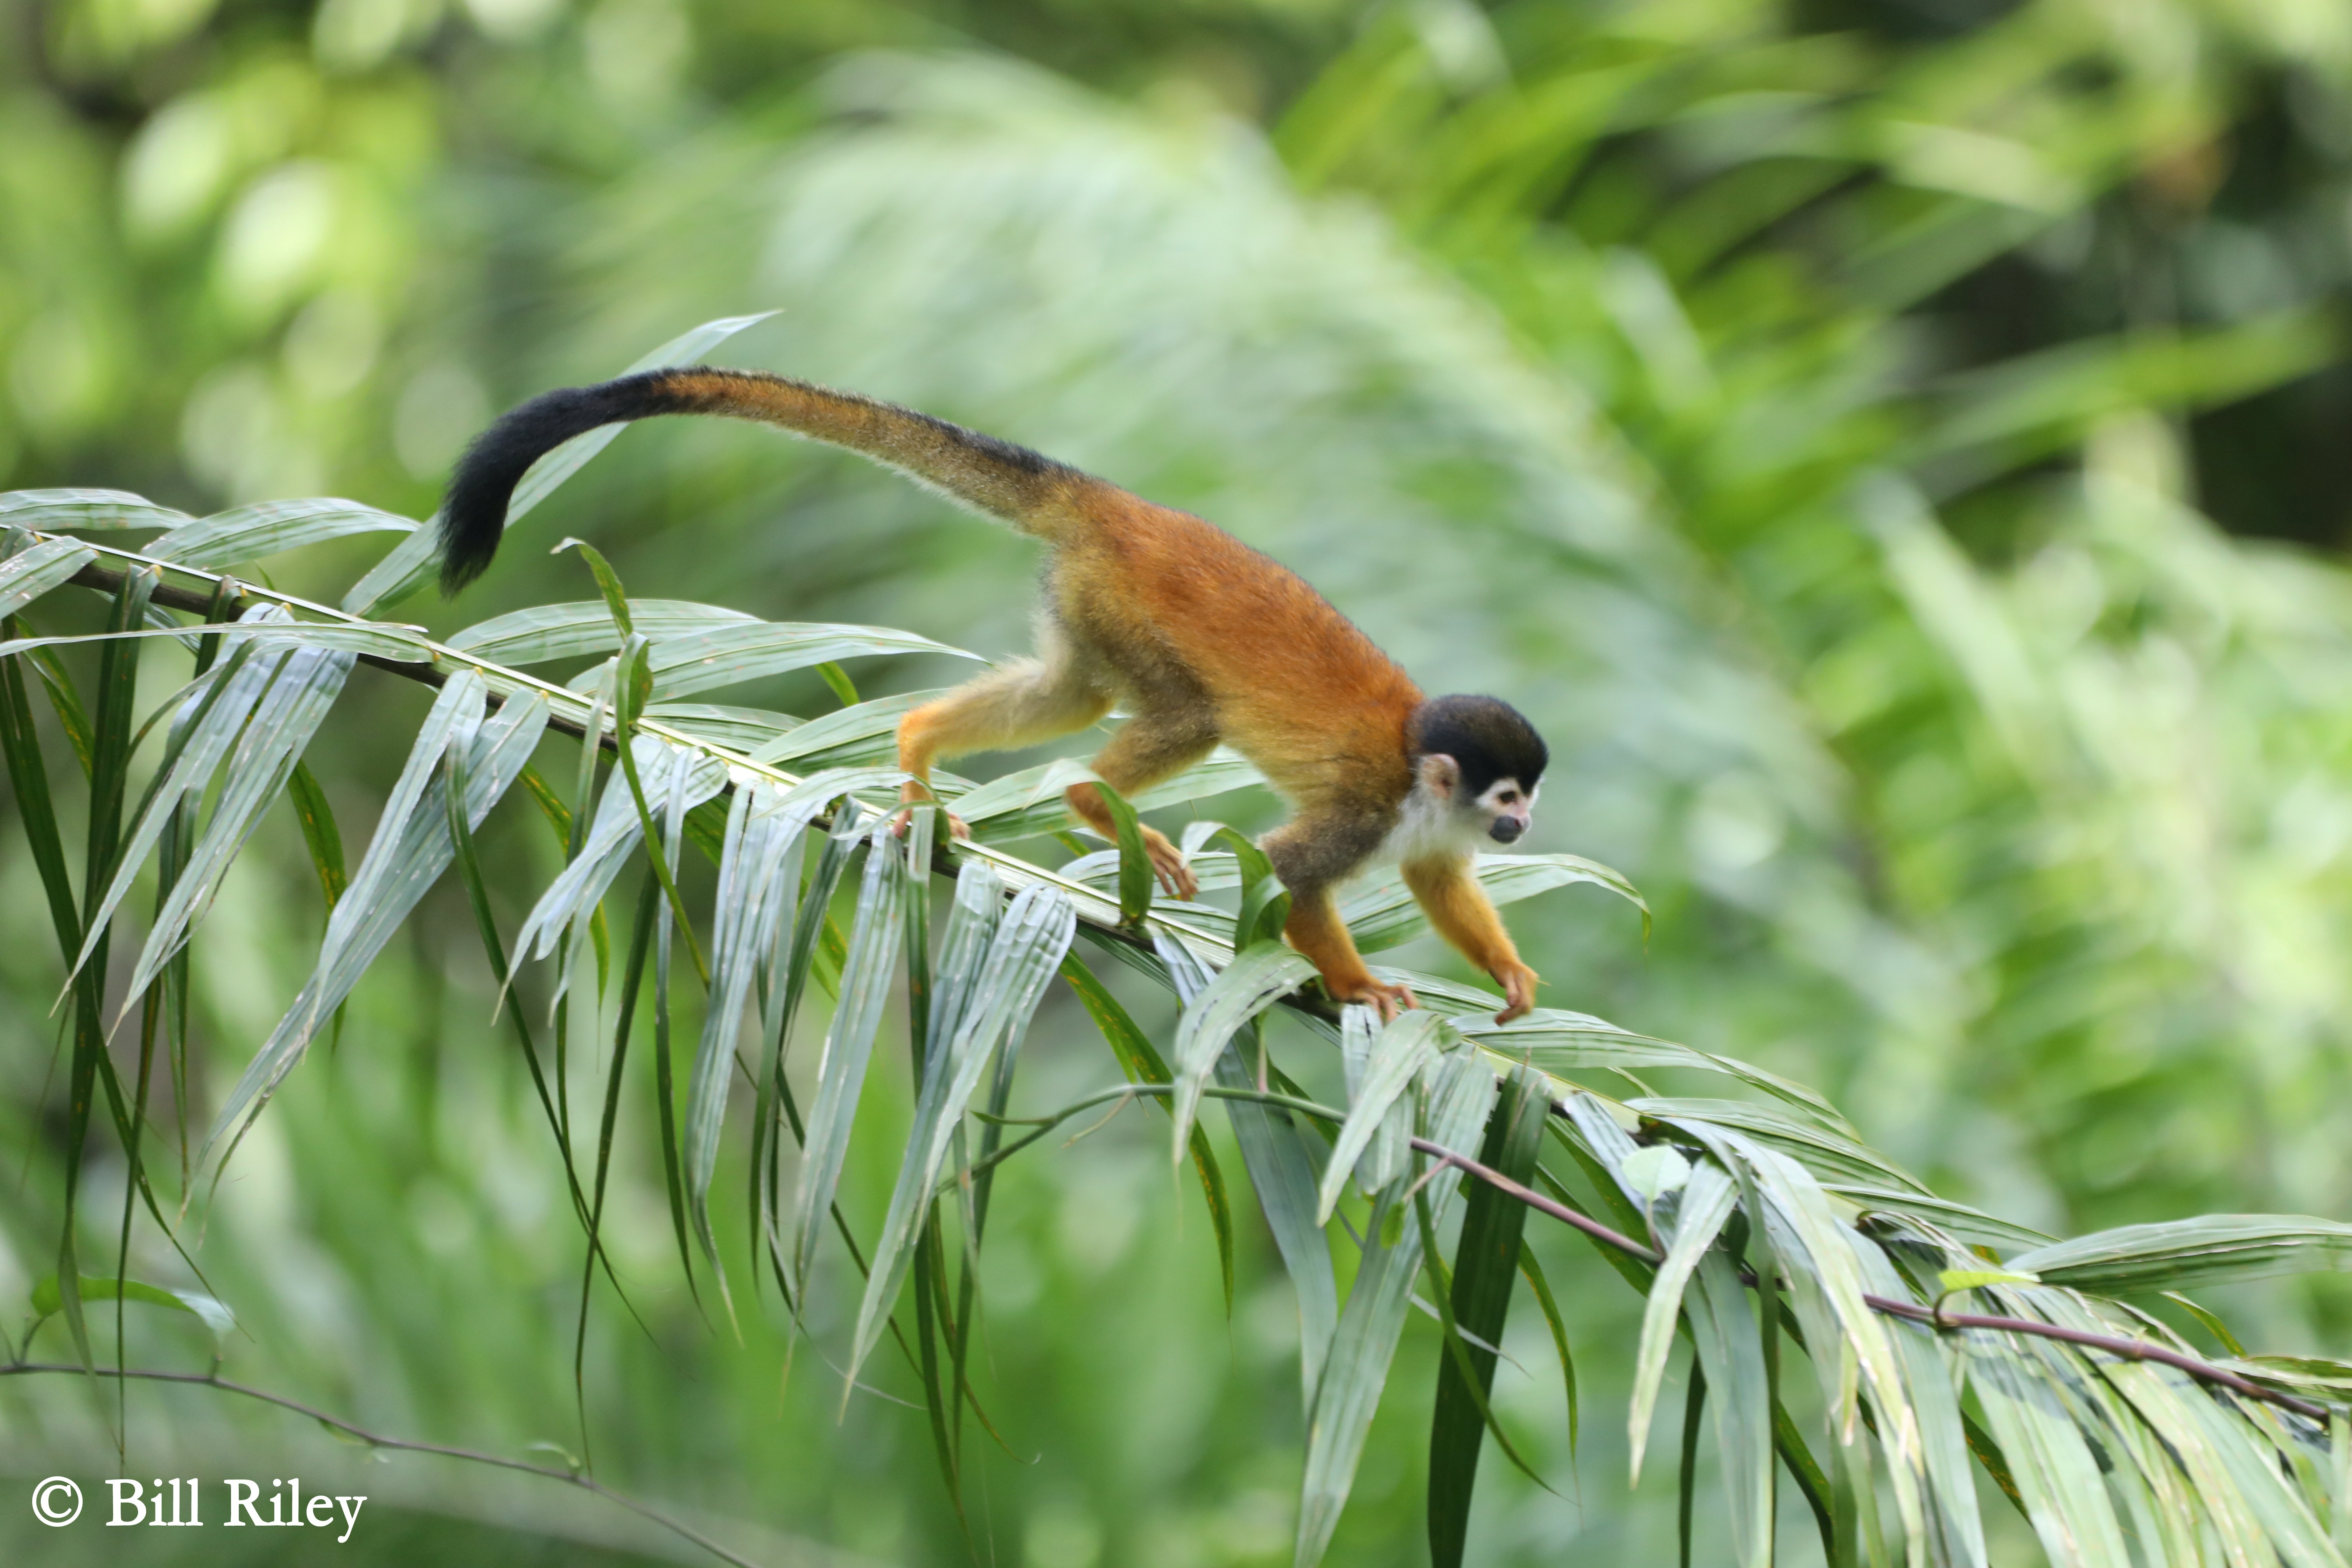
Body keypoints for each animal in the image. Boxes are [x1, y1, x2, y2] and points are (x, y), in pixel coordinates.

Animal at [439, 368, 1550, 1021]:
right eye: (1509, 797)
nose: (1524, 828)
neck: (1416, 768)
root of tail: (1120, 507)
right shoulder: (1367, 804)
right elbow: (1288, 875)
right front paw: (1355, 984)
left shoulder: (1426, 827)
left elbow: (1439, 882)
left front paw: (1507, 973)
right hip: (1120, 603)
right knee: (1181, 717)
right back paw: (1090, 802)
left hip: (1083, 603)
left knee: (1072, 695)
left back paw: (920, 746)